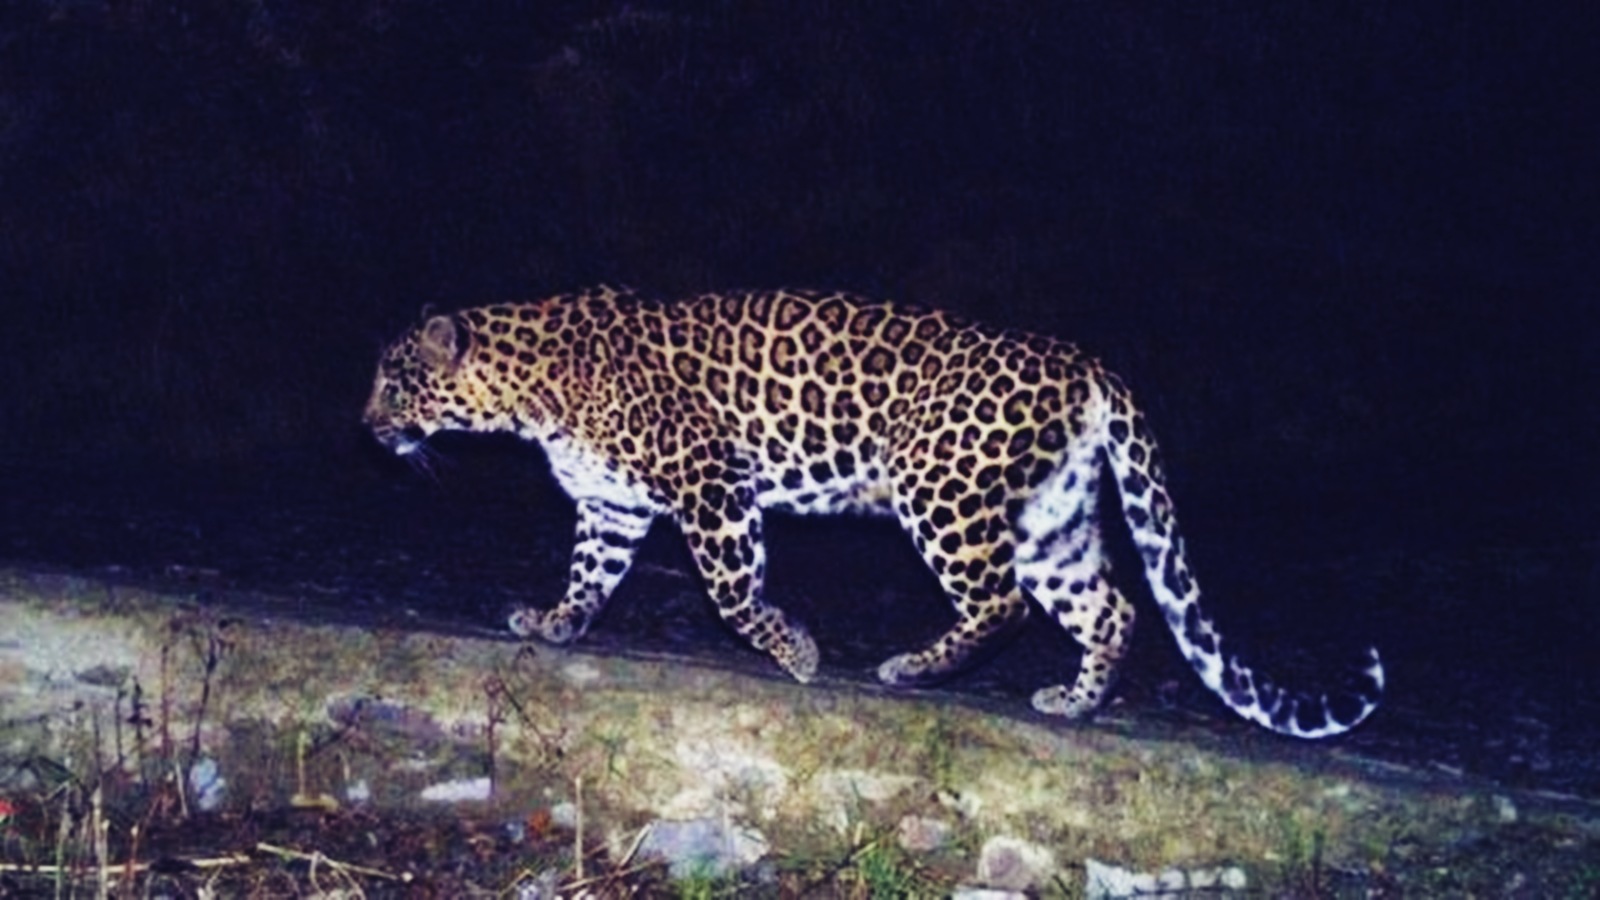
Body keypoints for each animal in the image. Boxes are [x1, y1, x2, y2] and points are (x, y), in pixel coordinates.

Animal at [364, 286, 1383, 738]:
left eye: (393, 380)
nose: (367, 427)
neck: (527, 388)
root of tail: (1086, 361)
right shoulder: (612, 506)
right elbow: (588, 577)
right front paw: (555, 622)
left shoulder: (710, 481)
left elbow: (733, 592)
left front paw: (797, 653)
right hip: (1051, 518)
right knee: (1113, 608)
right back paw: (1075, 702)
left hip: (942, 489)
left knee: (1002, 604)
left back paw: (912, 669)